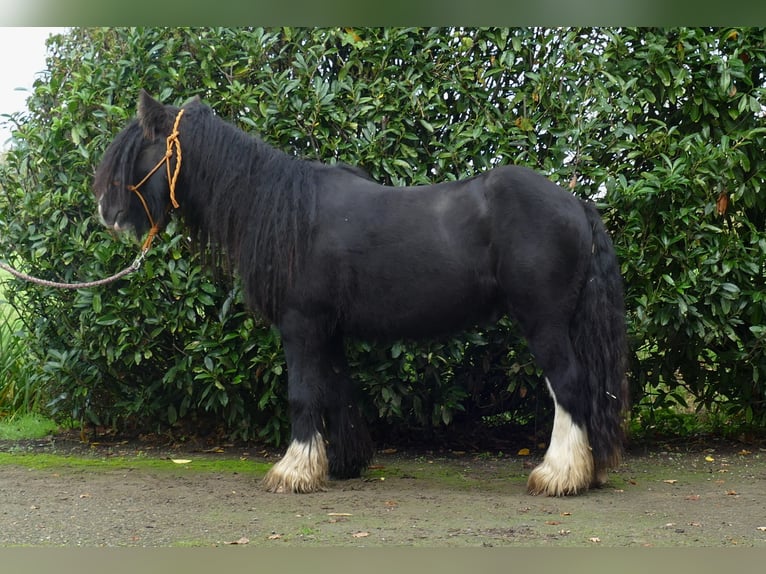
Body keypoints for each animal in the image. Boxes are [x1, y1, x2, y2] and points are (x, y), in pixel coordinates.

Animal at [93, 90, 628, 496]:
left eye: (136, 152)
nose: (106, 212)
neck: (286, 210)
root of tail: (576, 203)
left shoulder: (302, 324)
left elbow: (303, 394)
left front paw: (293, 471)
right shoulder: (327, 329)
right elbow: (337, 392)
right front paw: (341, 464)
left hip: (544, 322)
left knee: (568, 386)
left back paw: (558, 475)